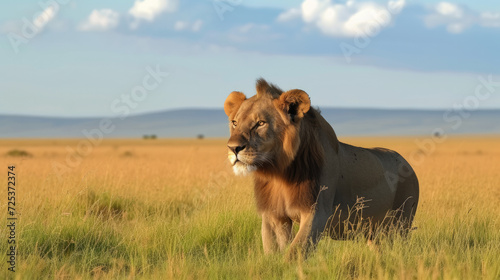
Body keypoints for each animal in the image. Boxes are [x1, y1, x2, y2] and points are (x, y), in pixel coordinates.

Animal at [223, 78, 418, 256]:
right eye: (234, 123)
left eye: (260, 123)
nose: (233, 148)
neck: (279, 172)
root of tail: (407, 163)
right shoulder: (274, 215)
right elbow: (273, 252)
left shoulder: (316, 212)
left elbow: (295, 252)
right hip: (373, 230)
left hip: (401, 224)